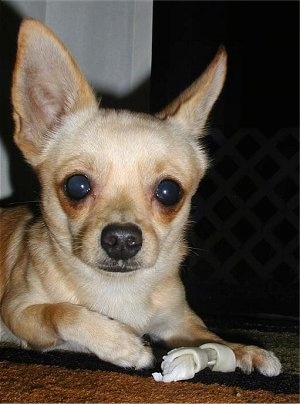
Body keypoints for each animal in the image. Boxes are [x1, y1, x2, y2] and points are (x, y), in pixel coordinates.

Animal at [0, 19, 282, 378]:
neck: (119, 288)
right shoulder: (18, 312)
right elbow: (62, 311)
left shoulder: (180, 324)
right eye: (77, 186)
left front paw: (243, 349)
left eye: (169, 191)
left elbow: (209, 336)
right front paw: (120, 343)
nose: (121, 239)